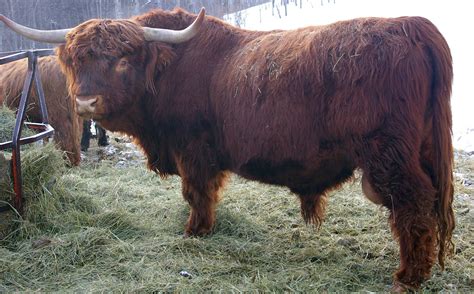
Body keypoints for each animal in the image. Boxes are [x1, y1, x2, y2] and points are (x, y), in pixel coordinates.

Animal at [0, 8, 456, 290]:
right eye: (78, 59)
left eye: (122, 60)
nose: (85, 102)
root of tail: (413, 26)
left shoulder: (192, 149)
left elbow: (196, 193)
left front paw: (195, 231)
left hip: (390, 157)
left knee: (413, 208)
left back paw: (408, 276)